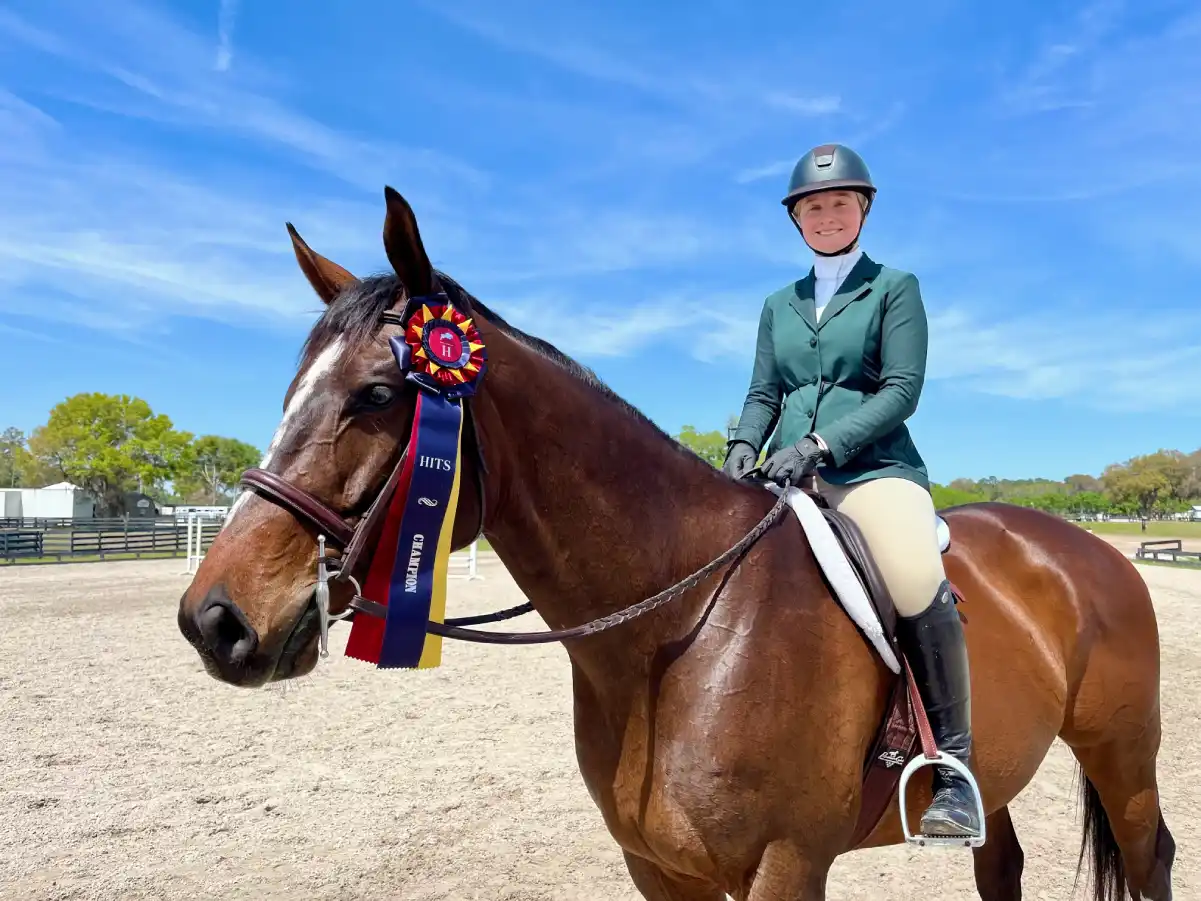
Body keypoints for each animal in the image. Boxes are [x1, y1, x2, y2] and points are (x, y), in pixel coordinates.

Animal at [176, 186, 1175, 901]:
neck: (676, 626)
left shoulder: (785, 864)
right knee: (997, 863)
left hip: (1121, 751)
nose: (213, 620)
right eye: (288, 396)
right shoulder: (658, 868)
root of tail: (1084, 548)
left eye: (380, 394)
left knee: (1150, 852)